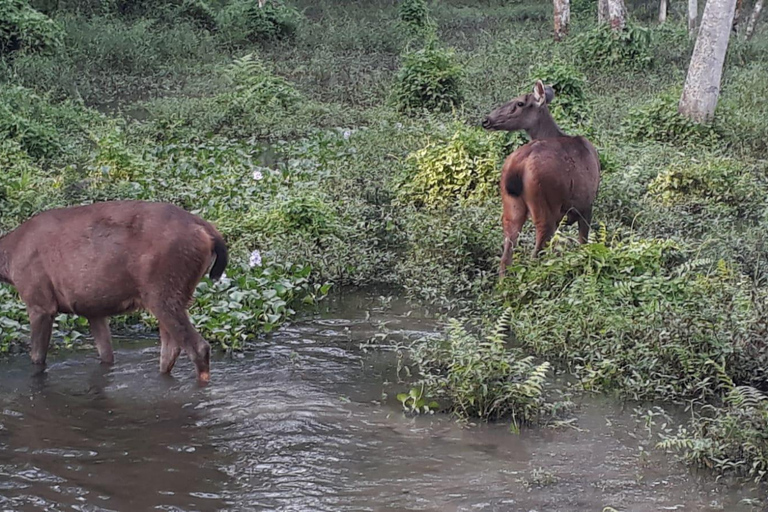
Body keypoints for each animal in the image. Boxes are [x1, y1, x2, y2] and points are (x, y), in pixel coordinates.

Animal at [0, 200, 228, 384]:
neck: (8, 261)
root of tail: (209, 232)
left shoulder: (39, 300)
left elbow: (37, 359)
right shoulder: (91, 309)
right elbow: (106, 356)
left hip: (163, 289)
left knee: (197, 347)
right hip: (174, 292)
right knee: (171, 348)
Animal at [480, 79, 600, 276]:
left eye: (520, 102)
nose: (486, 120)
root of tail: (517, 166)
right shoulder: (586, 206)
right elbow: (583, 244)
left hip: (512, 207)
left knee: (506, 257)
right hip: (545, 206)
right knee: (536, 253)